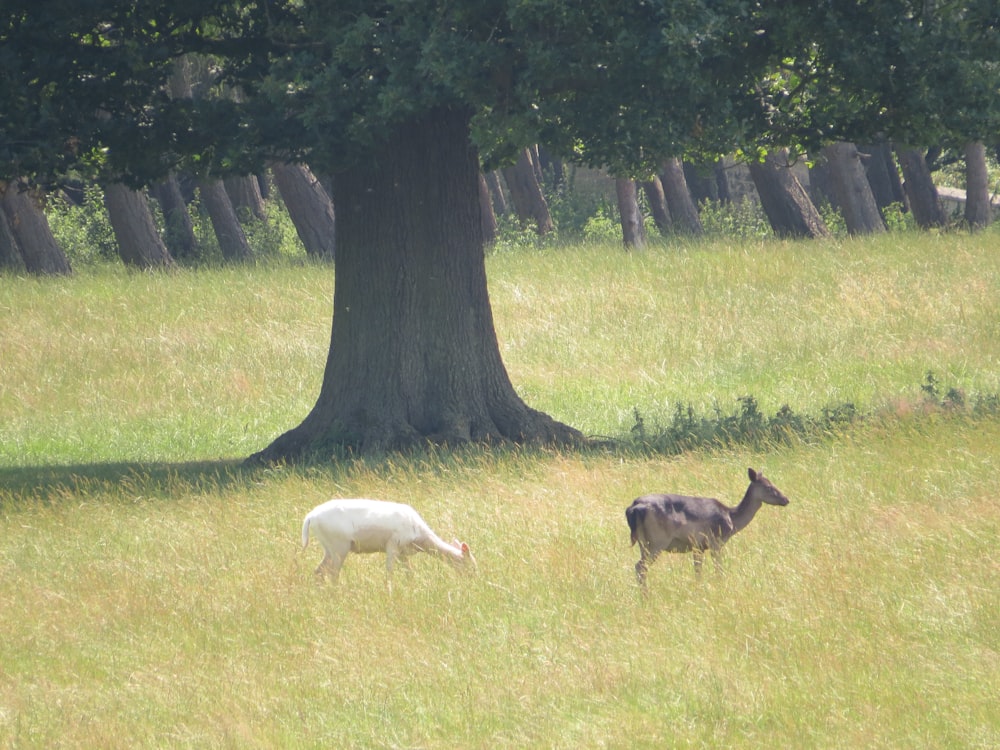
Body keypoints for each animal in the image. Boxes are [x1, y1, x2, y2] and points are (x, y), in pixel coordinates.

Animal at [624, 470, 788, 588]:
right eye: (768, 486)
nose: (786, 499)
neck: (731, 519)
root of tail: (634, 508)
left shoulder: (698, 547)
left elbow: (698, 572)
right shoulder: (716, 541)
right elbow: (718, 569)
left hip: (643, 542)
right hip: (658, 540)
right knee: (640, 566)